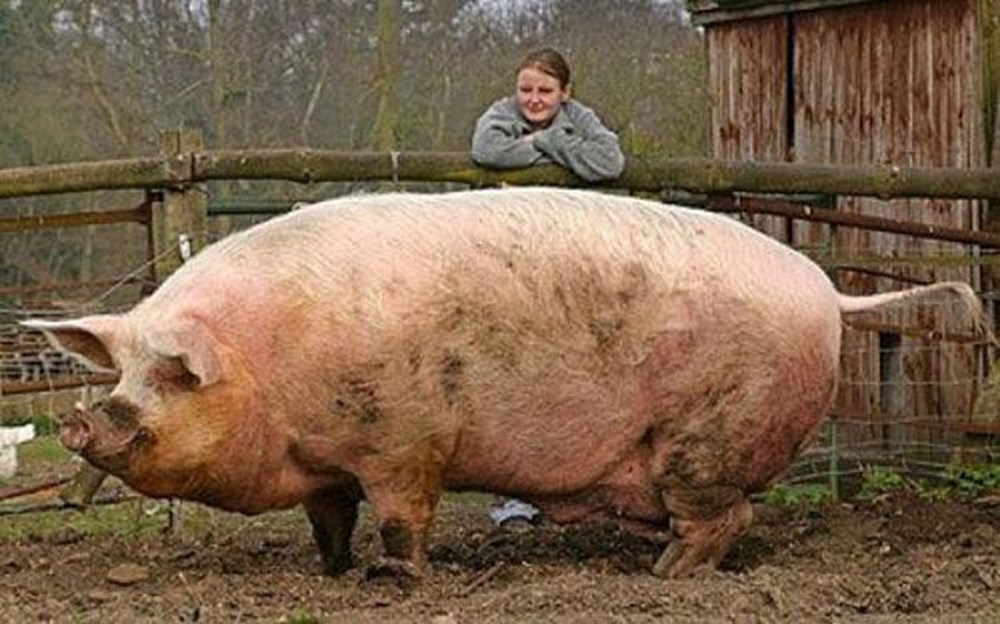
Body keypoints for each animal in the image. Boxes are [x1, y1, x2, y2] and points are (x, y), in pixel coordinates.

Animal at [23, 188, 989, 579]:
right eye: (122, 370)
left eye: (171, 375)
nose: (85, 421)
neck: (271, 362)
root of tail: (831, 291)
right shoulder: (332, 457)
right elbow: (329, 517)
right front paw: (331, 571)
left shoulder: (405, 440)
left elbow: (402, 519)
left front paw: (393, 581)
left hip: (704, 436)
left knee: (728, 516)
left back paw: (665, 576)